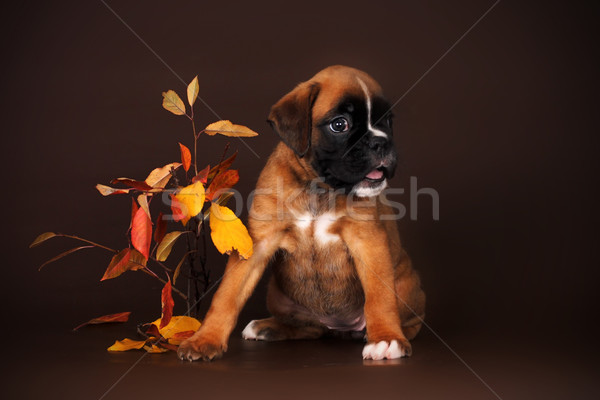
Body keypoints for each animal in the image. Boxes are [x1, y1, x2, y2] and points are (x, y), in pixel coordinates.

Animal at [178, 65, 426, 362]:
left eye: (387, 122)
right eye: (339, 124)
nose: (382, 143)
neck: (318, 188)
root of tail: (339, 328)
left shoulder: (368, 243)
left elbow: (379, 297)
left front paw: (387, 338)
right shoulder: (257, 243)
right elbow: (227, 295)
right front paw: (205, 339)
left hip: (408, 286)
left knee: (411, 321)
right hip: (278, 295)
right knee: (309, 327)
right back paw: (268, 327)